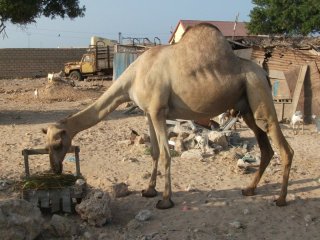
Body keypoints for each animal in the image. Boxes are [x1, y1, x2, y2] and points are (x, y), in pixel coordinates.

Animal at [43, 23, 294, 209]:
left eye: (57, 144)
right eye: (47, 145)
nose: (55, 169)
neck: (134, 75)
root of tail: (264, 73)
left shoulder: (158, 110)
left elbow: (165, 154)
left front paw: (165, 200)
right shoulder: (147, 113)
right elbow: (154, 152)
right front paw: (148, 190)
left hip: (257, 91)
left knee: (283, 147)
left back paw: (280, 199)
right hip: (247, 107)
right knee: (266, 148)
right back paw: (249, 189)